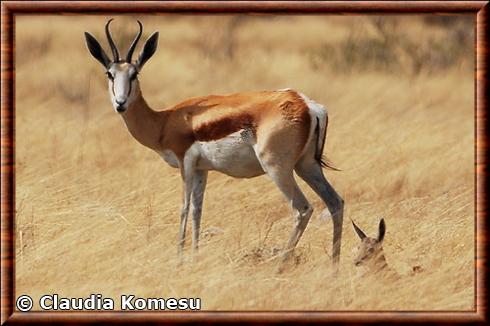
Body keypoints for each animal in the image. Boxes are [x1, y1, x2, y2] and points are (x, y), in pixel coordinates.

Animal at [85, 19, 344, 268]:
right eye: (109, 74)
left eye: (134, 74)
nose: (120, 103)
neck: (165, 120)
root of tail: (306, 104)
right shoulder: (203, 169)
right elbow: (197, 210)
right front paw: (194, 258)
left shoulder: (185, 163)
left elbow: (184, 208)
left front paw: (179, 261)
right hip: (306, 166)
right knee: (335, 202)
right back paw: (334, 267)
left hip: (278, 168)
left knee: (302, 209)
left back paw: (280, 266)